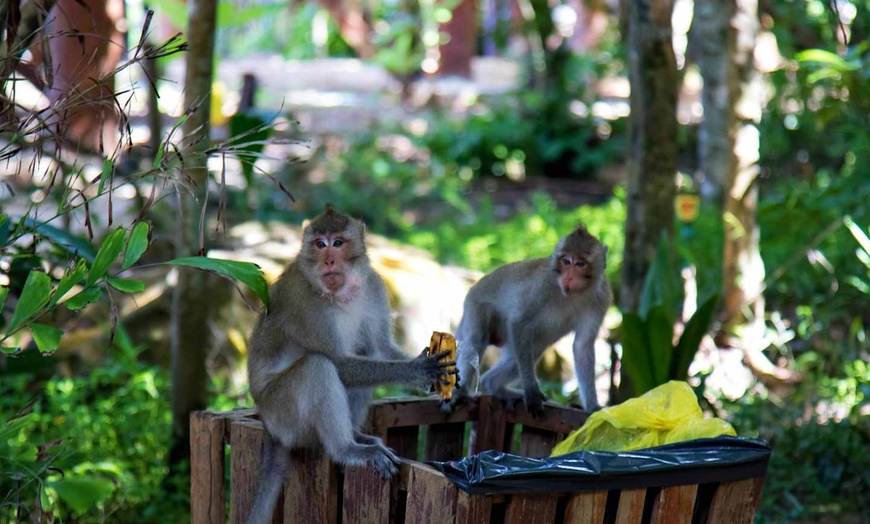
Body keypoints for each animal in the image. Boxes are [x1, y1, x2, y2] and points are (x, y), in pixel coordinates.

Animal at [245, 205, 456, 524]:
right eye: (320, 244)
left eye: (338, 243)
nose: (329, 259)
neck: (339, 294)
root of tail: (269, 427)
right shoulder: (304, 303)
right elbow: (340, 363)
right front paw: (417, 370)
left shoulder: (374, 286)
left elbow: (380, 347)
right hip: (284, 415)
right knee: (318, 367)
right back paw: (347, 449)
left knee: (363, 351)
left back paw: (357, 435)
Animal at [454, 225, 608, 418]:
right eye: (566, 261)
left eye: (580, 264)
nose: (568, 277)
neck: (574, 294)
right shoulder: (542, 287)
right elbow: (519, 323)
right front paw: (531, 390)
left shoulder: (600, 300)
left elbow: (582, 346)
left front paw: (593, 407)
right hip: (475, 305)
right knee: (477, 339)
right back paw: (461, 392)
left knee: (528, 353)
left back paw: (493, 384)